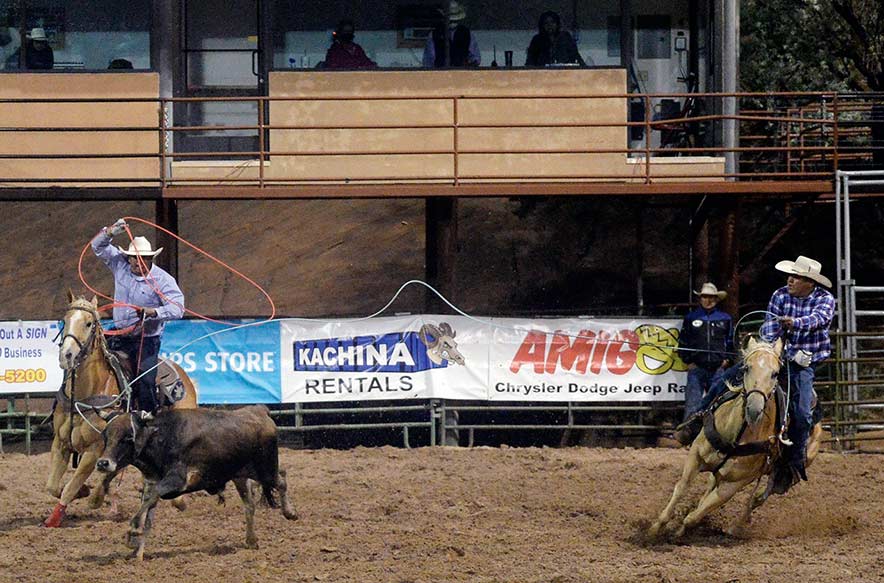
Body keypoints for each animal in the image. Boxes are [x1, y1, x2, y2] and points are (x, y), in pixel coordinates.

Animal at [43, 294, 199, 528]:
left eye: (88, 323)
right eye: (65, 319)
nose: (67, 355)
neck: (85, 394)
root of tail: (184, 377)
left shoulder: (93, 451)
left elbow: (70, 486)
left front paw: (56, 517)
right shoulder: (61, 442)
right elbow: (52, 486)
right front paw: (84, 491)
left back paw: (178, 500)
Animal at [648, 338, 820, 540]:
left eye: (775, 373)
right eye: (746, 368)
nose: (754, 409)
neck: (735, 436)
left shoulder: (734, 484)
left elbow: (696, 516)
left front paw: (679, 531)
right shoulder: (696, 454)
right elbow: (682, 487)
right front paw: (655, 529)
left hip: (779, 476)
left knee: (758, 498)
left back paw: (735, 527)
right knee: (713, 488)